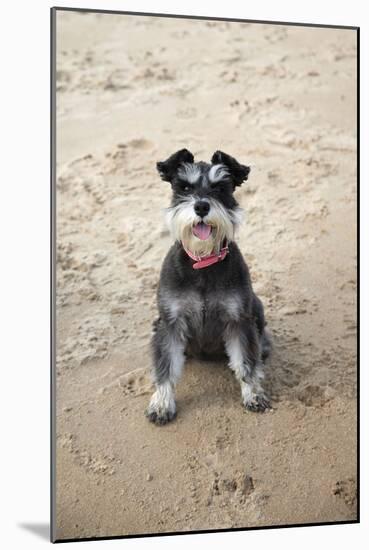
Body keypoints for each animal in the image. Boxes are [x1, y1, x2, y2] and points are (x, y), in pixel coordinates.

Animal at [146, 148, 270, 426]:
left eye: (220, 188)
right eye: (184, 187)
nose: (201, 206)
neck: (203, 262)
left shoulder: (238, 320)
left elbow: (246, 362)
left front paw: (253, 394)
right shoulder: (171, 322)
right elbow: (166, 366)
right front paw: (162, 404)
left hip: (256, 307)